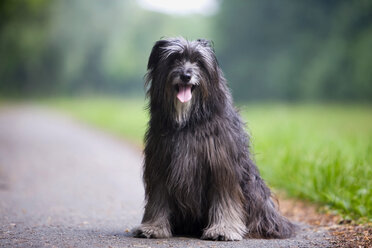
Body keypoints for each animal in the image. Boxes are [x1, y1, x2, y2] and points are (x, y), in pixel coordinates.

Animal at [133, 36, 294, 240]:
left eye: (198, 62)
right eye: (175, 59)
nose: (186, 75)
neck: (189, 122)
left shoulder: (221, 166)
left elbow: (225, 199)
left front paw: (223, 230)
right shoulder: (160, 165)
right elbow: (158, 199)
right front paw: (153, 227)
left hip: (254, 190)